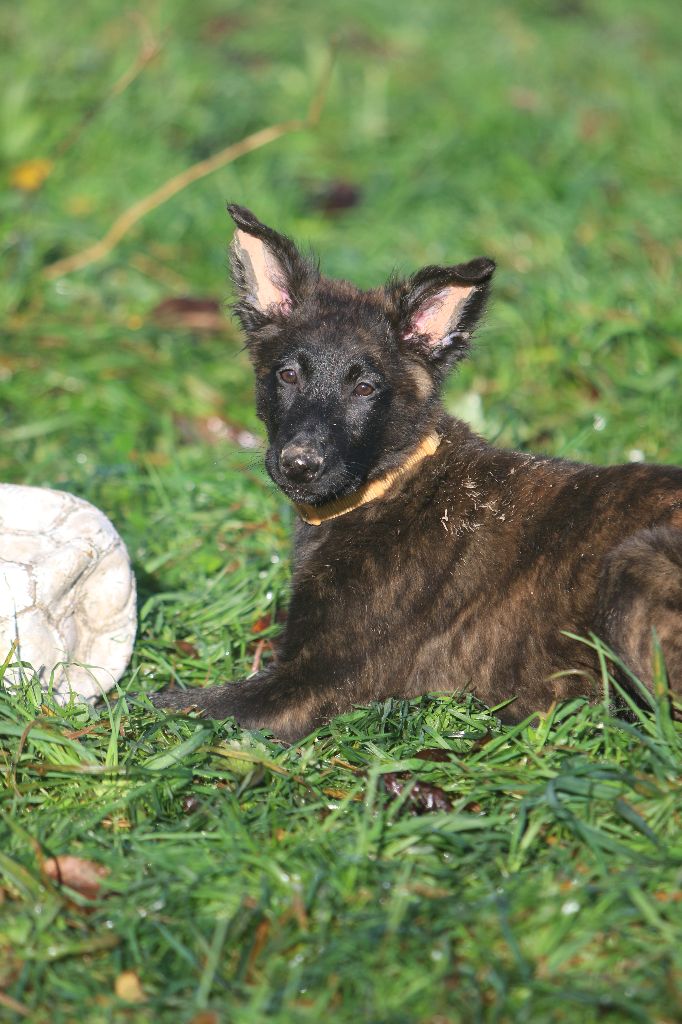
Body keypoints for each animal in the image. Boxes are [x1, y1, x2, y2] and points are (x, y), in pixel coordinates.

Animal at [152, 205, 679, 737]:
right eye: (287, 375)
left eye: (364, 388)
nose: (299, 465)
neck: (386, 486)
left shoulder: (308, 686)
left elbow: (160, 704)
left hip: (636, 563)